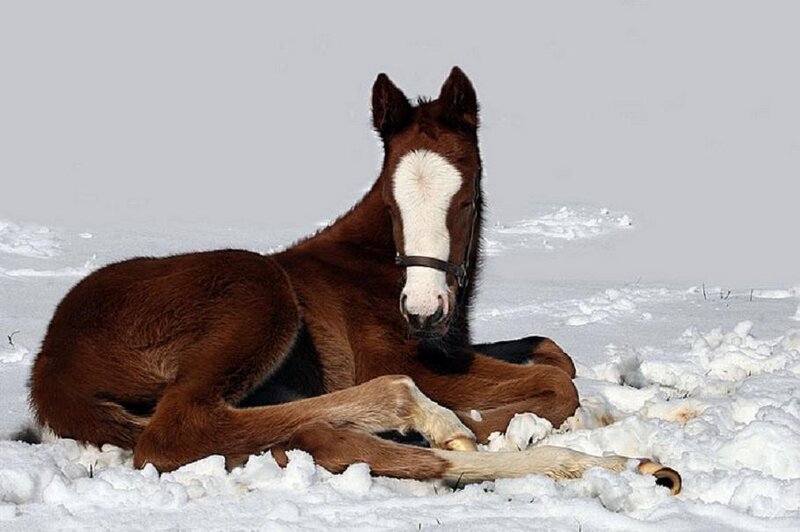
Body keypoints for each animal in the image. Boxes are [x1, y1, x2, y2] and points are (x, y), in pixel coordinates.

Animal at [28, 67, 680, 494]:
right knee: (180, 431)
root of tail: (49, 368)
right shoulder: (404, 356)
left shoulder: (449, 345)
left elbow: (555, 355)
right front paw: (486, 422)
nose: (422, 309)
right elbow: (557, 385)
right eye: (390, 203)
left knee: (314, 436)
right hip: (259, 286)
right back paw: (438, 424)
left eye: (466, 200)